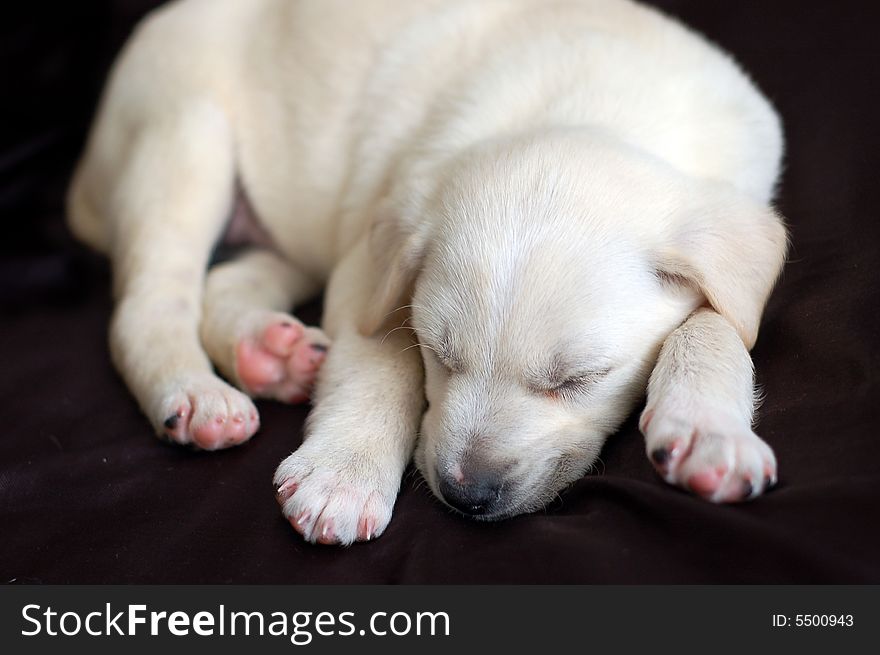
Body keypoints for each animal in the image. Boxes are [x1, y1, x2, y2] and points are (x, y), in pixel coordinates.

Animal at [67, 0, 784, 544]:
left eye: (579, 380)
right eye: (439, 354)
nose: (468, 496)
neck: (594, 106)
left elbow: (716, 329)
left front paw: (708, 431)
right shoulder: (368, 268)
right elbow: (378, 364)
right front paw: (343, 475)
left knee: (226, 282)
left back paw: (269, 353)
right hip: (179, 137)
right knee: (150, 304)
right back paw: (198, 395)